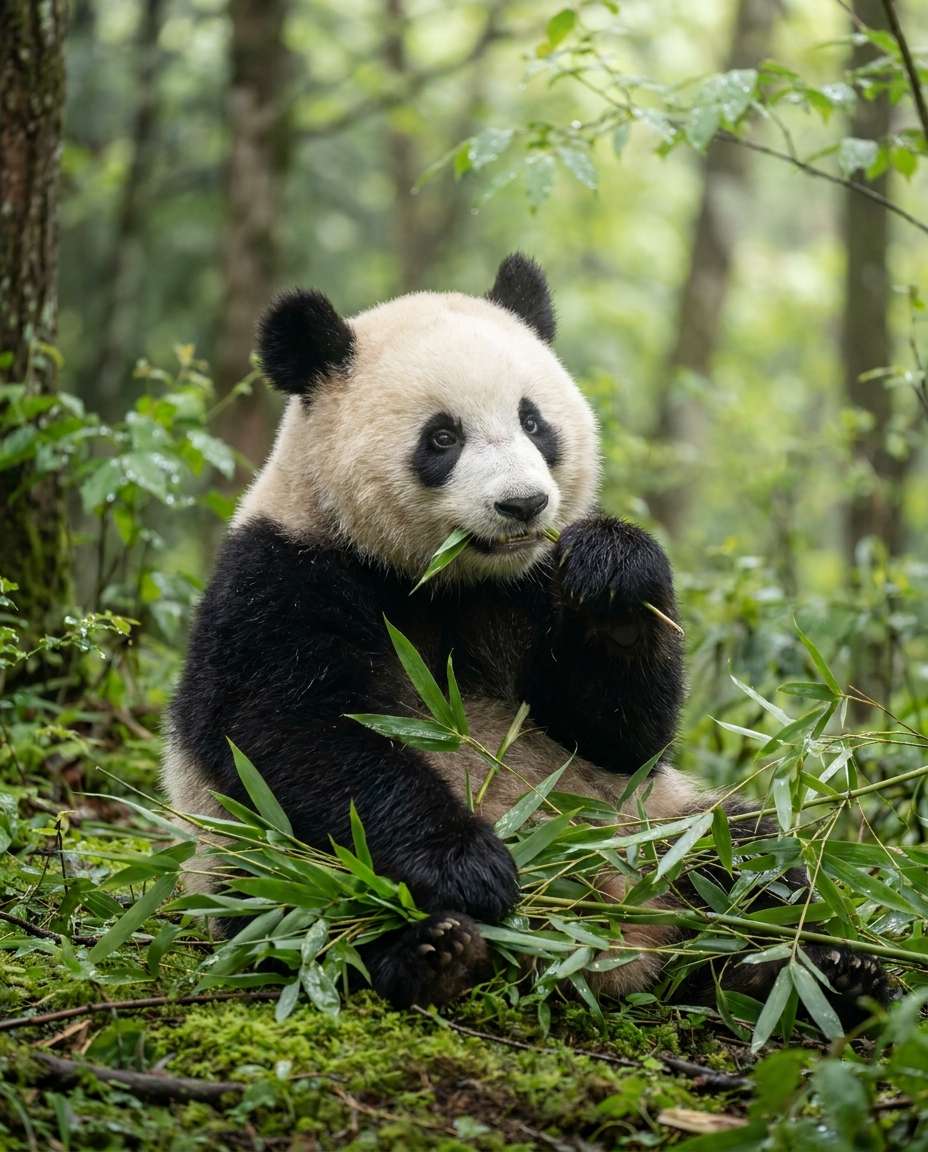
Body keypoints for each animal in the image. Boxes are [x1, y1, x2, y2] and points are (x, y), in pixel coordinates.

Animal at [166, 253, 889, 1013]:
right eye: (442, 437)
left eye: (534, 421)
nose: (524, 504)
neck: (445, 578)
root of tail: (611, 947)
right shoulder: (280, 578)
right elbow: (295, 731)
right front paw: (470, 866)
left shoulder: (531, 588)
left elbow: (619, 734)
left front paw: (614, 571)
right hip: (252, 864)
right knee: (297, 913)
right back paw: (434, 951)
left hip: (653, 821)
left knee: (749, 852)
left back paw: (813, 968)